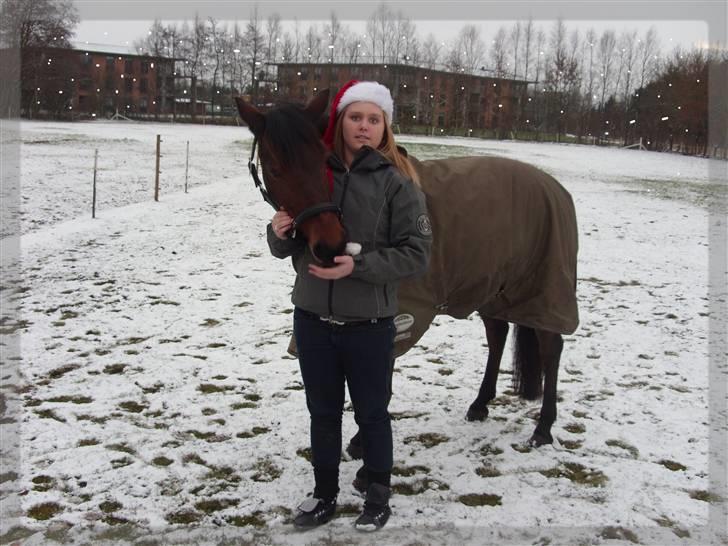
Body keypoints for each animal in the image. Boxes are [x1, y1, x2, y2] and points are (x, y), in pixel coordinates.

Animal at [236, 90, 576, 446]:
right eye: (275, 169)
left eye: (323, 161)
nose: (331, 246)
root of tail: (553, 187)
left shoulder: (400, 314)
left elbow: (379, 380)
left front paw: (361, 442)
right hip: (494, 288)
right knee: (498, 336)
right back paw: (480, 404)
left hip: (542, 289)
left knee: (551, 347)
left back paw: (543, 428)